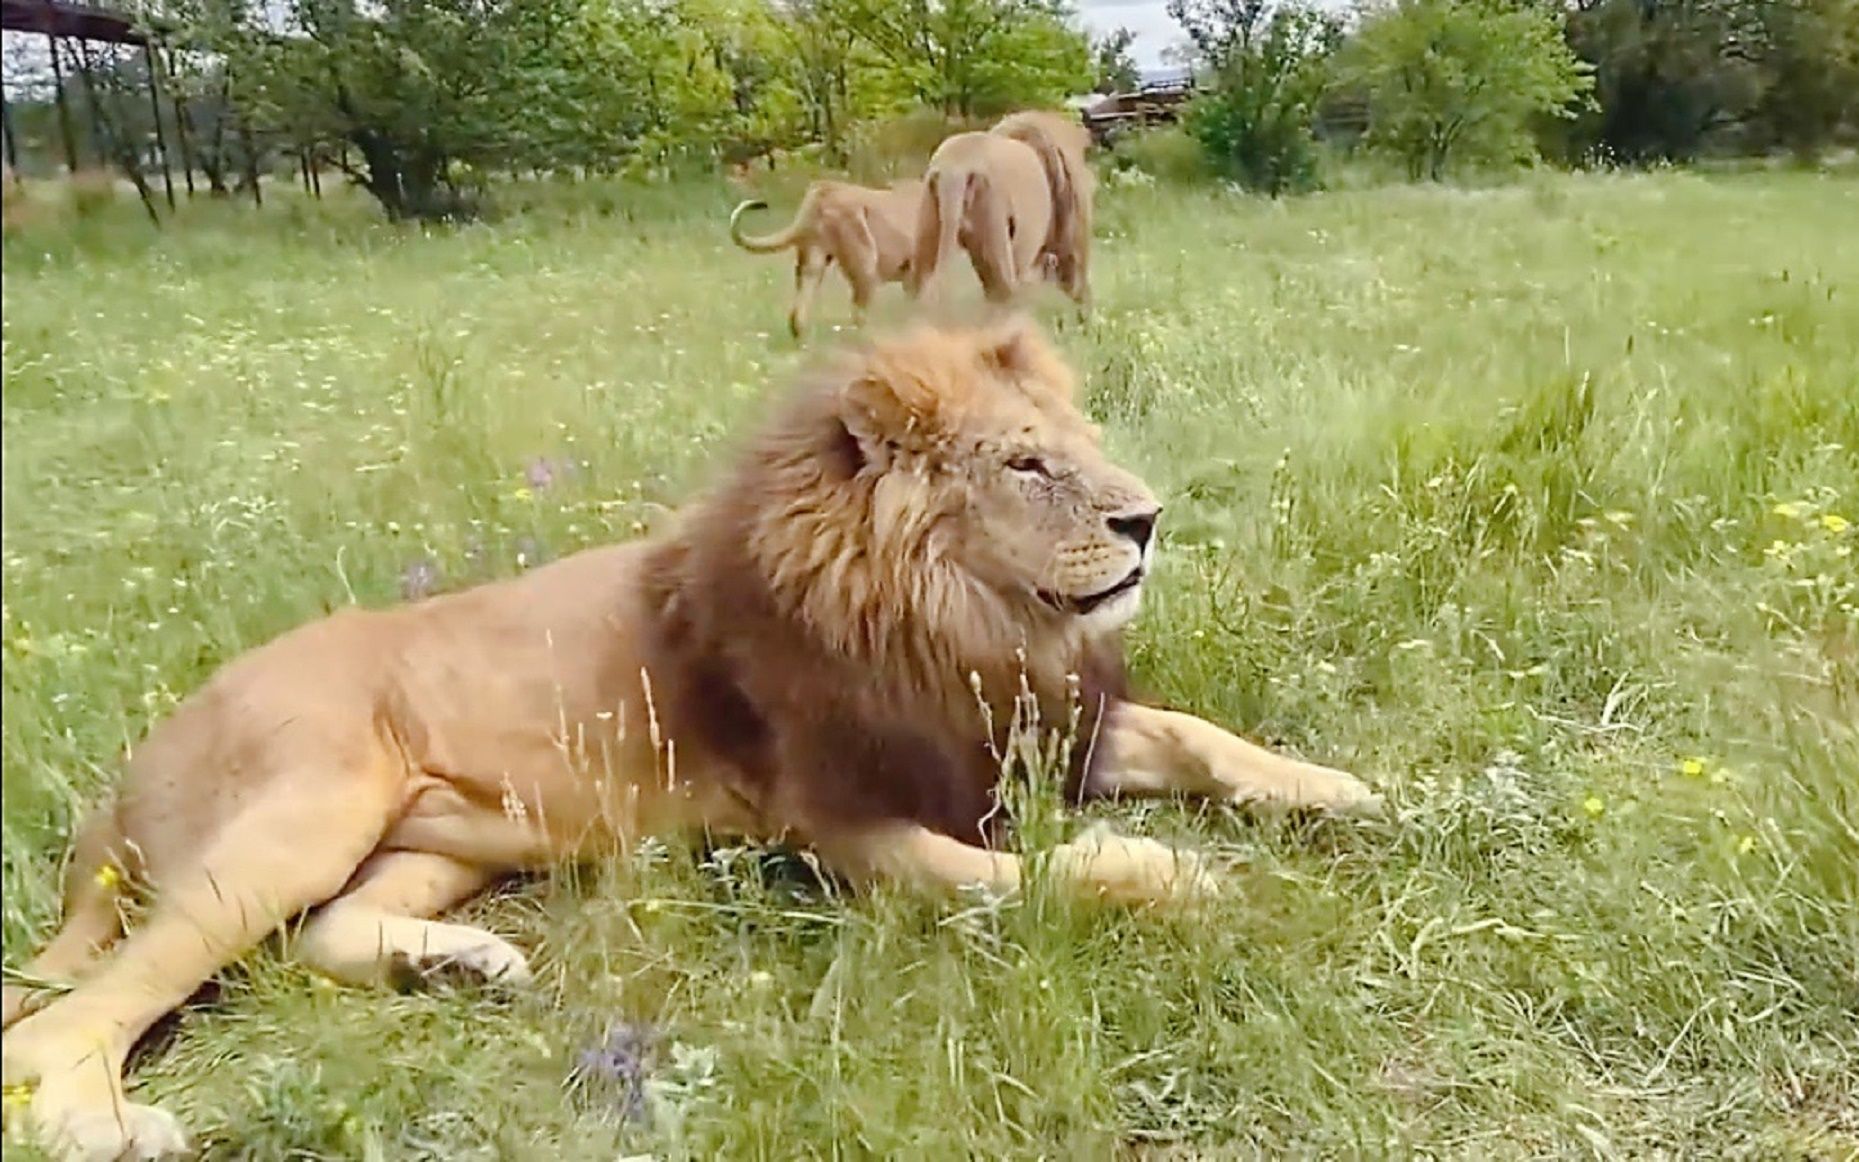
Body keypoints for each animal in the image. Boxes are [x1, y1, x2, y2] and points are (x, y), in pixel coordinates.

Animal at [3, 317, 1383, 1160]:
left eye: (1081, 450)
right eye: (1024, 465)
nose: (1147, 519)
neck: (957, 622)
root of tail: (120, 777)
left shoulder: (1031, 730)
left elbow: (1205, 738)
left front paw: (1341, 789)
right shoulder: (843, 826)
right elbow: (1039, 872)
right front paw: (1180, 875)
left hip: (435, 836)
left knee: (318, 935)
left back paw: (462, 965)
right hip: (304, 806)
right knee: (66, 1020)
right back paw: (110, 1128)